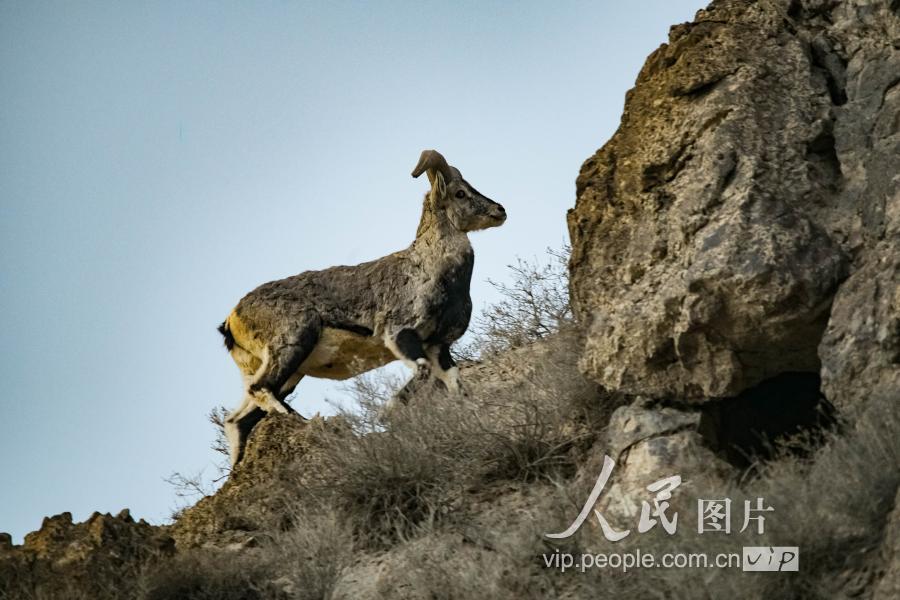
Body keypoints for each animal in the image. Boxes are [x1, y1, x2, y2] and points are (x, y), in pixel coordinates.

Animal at [214, 150, 502, 464]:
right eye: (460, 193)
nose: (499, 211)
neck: (432, 269)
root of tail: (231, 320)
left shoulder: (438, 346)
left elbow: (453, 381)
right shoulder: (400, 333)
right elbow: (422, 370)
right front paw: (386, 411)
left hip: (289, 372)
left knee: (237, 419)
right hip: (292, 343)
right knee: (261, 390)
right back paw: (310, 425)